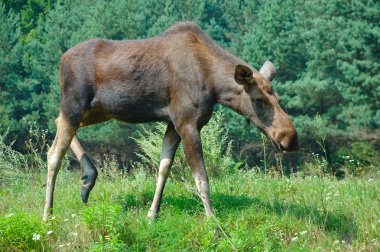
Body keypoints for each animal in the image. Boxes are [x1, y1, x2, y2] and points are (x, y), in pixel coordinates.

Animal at [43, 22, 298, 220]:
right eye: (258, 100)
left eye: (279, 98)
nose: (289, 138)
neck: (214, 86)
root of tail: (61, 59)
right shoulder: (187, 123)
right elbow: (201, 177)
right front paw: (212, 221)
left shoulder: (173, 124)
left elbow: (164, 168)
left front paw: (152, 214)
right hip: (75, 105)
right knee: (53, 153)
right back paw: (47, 214)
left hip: (97, 110)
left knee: (55, 121)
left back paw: (88, 179)